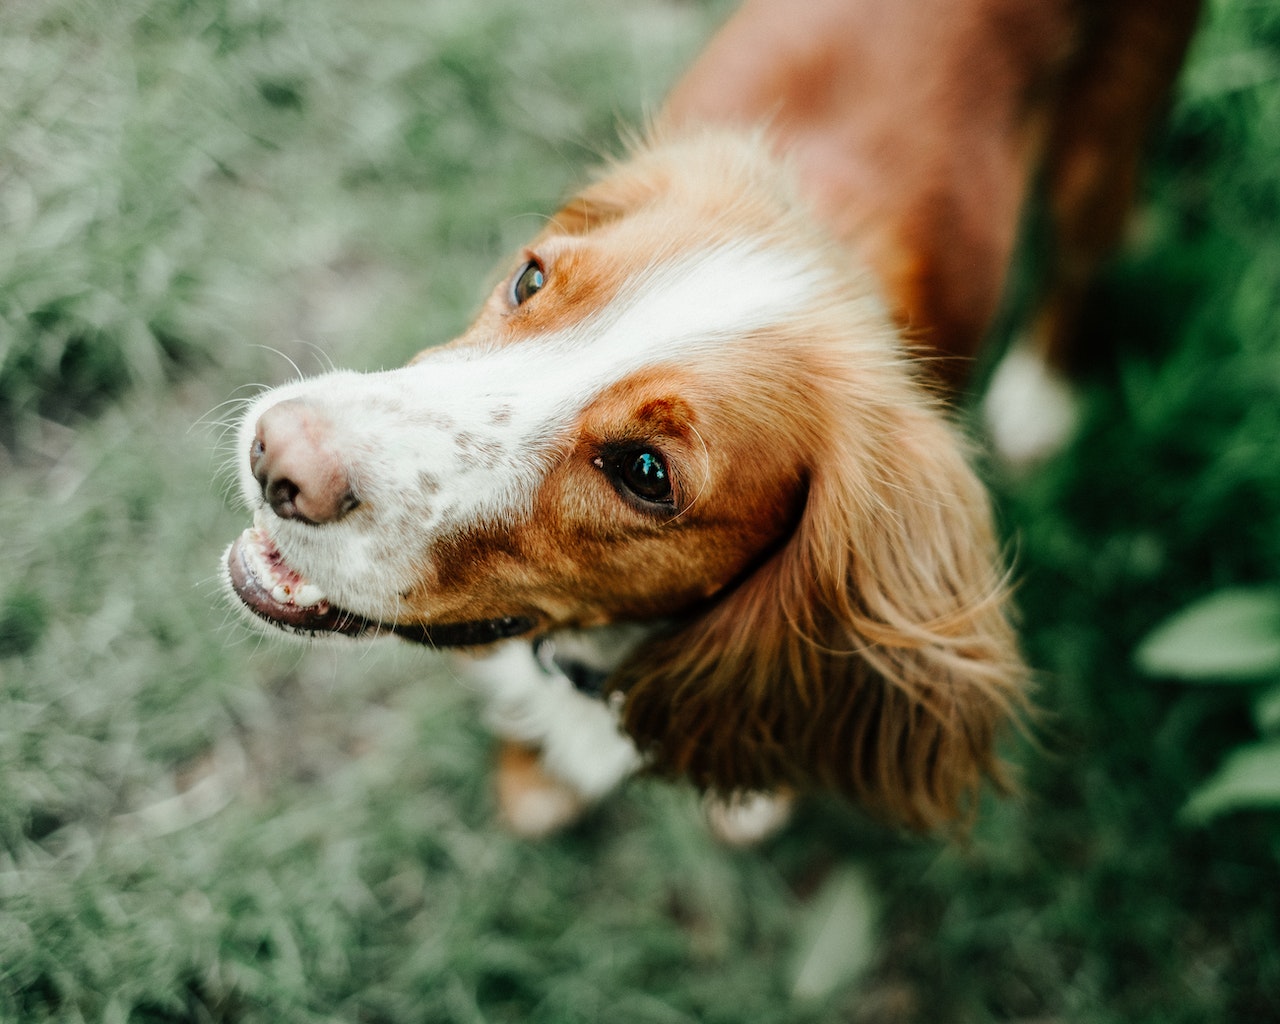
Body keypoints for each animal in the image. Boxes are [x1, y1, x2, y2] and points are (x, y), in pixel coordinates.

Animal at [217, 0, 1198, 834]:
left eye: (647, 473)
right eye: (530, 278)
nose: (279, 457)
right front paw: (533, 773)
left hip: (1109, 131)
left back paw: (1039, 393)